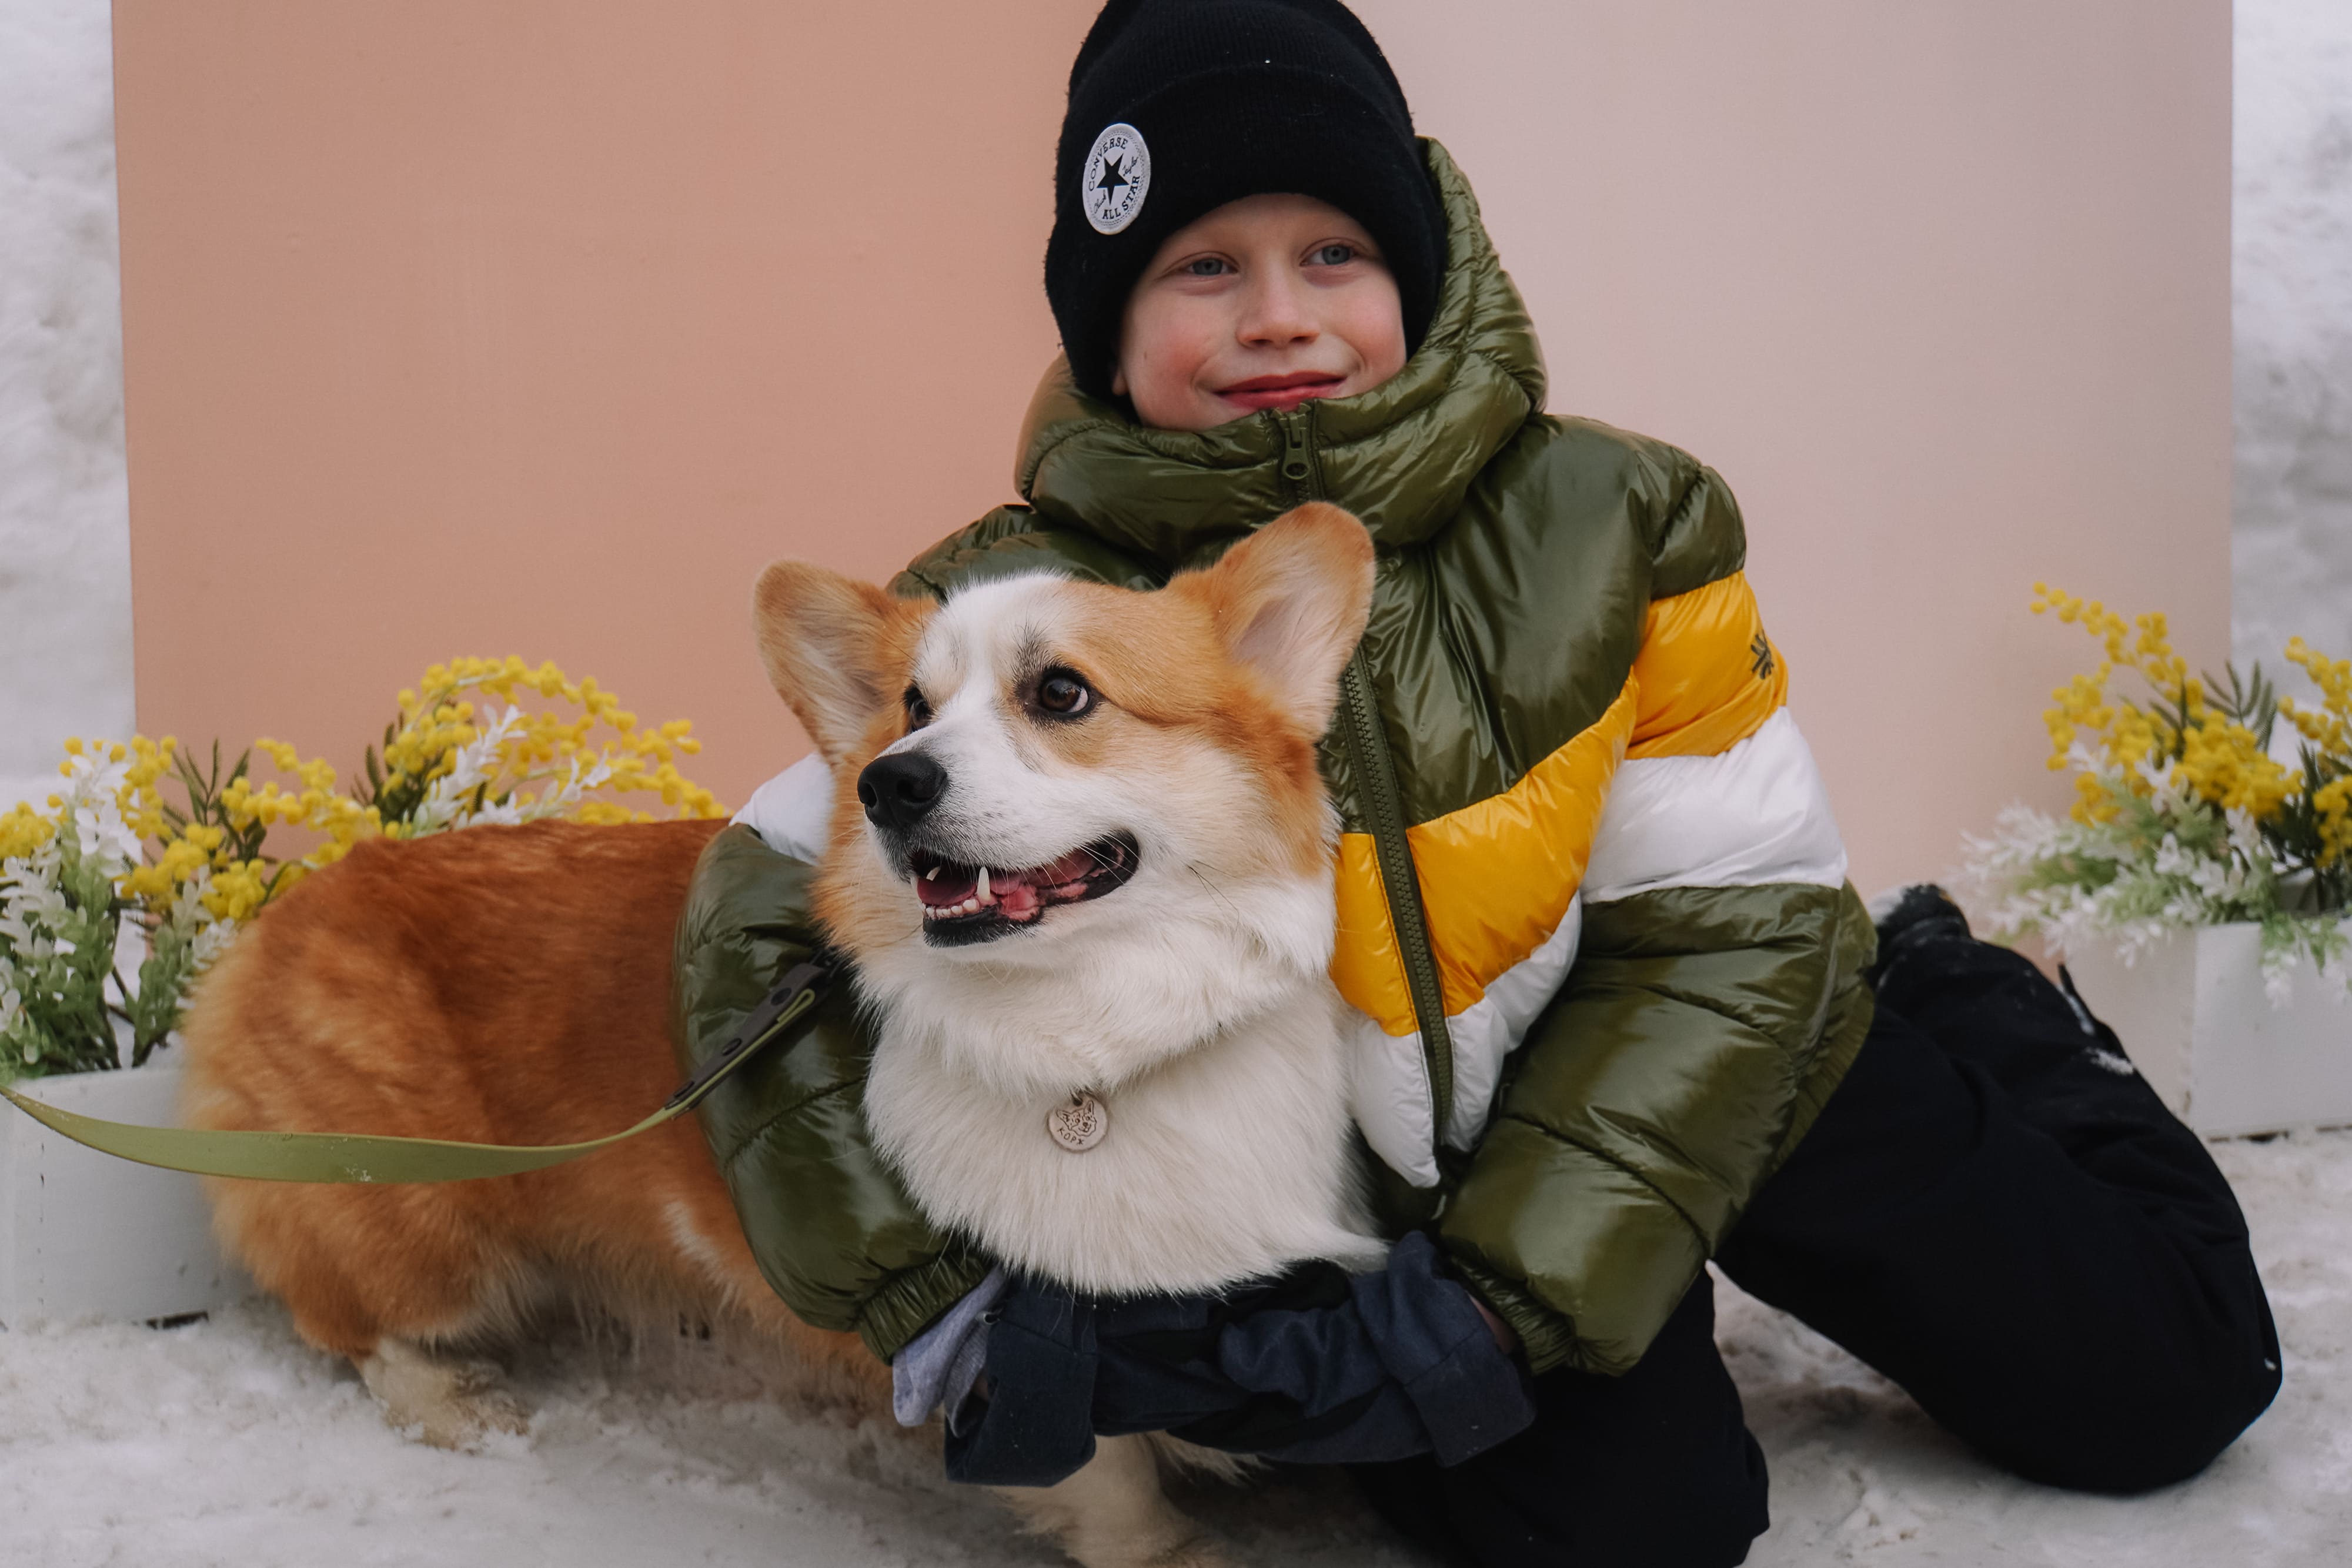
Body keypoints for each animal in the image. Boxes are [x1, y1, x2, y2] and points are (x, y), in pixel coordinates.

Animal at [188, 505, 1392, 1568]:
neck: (1092, 1034)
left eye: (1062, 691)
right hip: (427, 1221)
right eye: (912, 707)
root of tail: (281, 913)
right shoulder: (1002, 1326)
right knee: (361, 1325)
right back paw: (455, 1405)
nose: (889, 781)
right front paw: (1164, 1548)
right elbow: (1104, 1469)